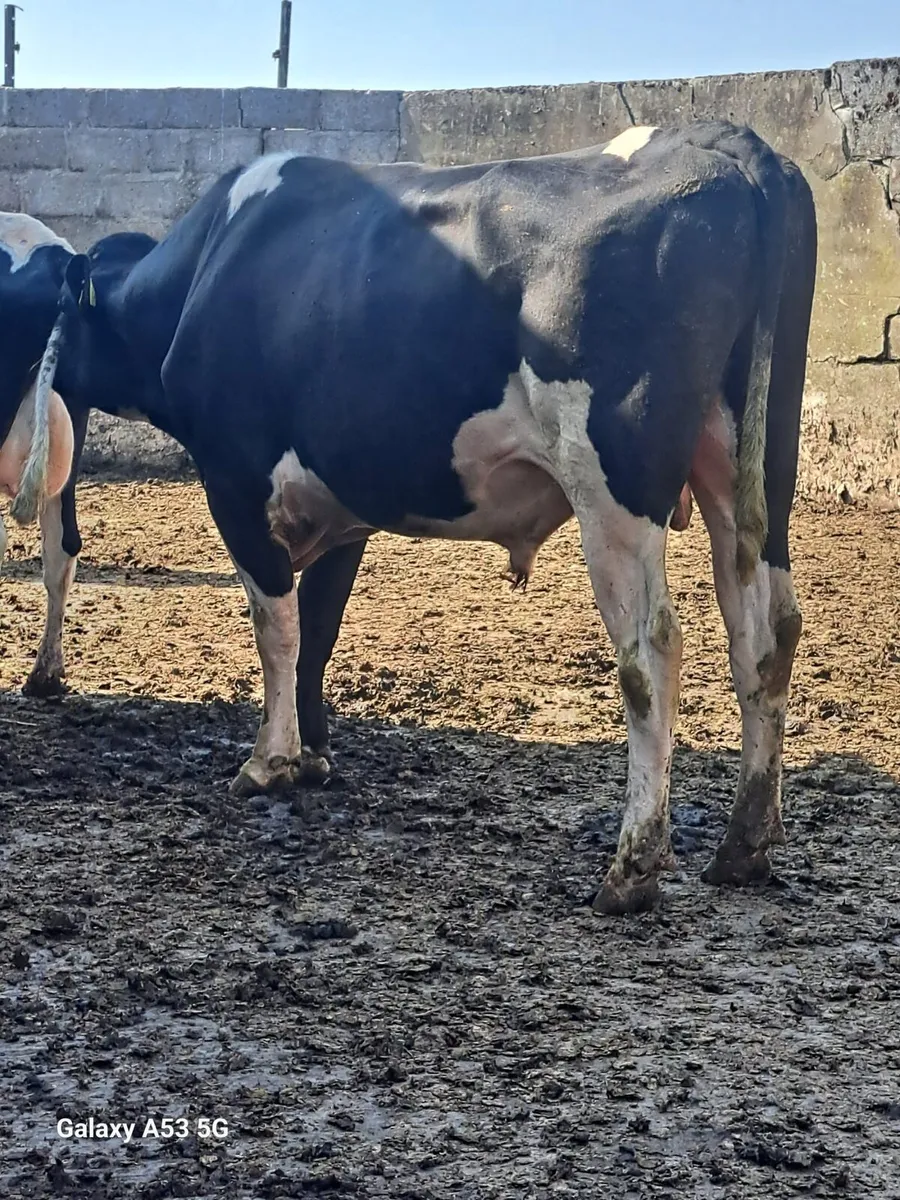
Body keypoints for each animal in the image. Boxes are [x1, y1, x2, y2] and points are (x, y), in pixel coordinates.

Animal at [16, 121, 817, 914]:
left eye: (57, 317)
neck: (206, 267)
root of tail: (720, 140)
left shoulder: (234, 481)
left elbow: (278, 631)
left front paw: (270, 762)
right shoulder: (340, 504)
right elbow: (317, 635)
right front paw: (315, 756)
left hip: (614, 483)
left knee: (652, 651)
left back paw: (633, 867)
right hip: (753, 469)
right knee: (766, 630)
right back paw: (744, 845)